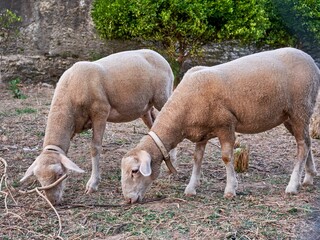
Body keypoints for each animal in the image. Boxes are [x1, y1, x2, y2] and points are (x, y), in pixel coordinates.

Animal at [20, 48, 175, 204]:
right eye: (38, 178)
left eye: (59, 174)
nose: (53, 201)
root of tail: (157, 54)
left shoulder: (100, 112)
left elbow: (95, 147)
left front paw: (93, 184)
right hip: (145, 108)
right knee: (154, 125)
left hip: (162, 96)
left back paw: (172, 162)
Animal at [120, 47, 320, 203]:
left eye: (135, 171)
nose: (128, 200)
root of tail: (310, 60)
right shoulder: (201, 133)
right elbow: (197, 158)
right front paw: (191, 188)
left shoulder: (225, 126)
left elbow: (226, 157)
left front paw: (230, 189)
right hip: (289, 117)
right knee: (307, 143)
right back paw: (309, 177)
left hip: (300, 110)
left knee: (302, 146)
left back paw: (292, 186)